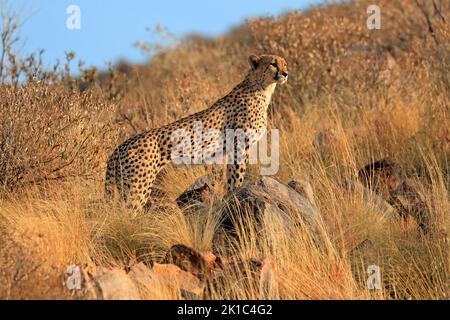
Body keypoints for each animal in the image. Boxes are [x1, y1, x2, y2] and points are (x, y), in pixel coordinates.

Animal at [105, 55, 288, 210]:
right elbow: (238, 175)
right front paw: (237, 192)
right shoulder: (239, 147)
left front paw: (230, 194)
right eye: (273, 64)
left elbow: (230, 177)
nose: (286, 73)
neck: (262, 88)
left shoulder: (230, 151)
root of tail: (119, 147)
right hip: (137, 188)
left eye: (284, 63)